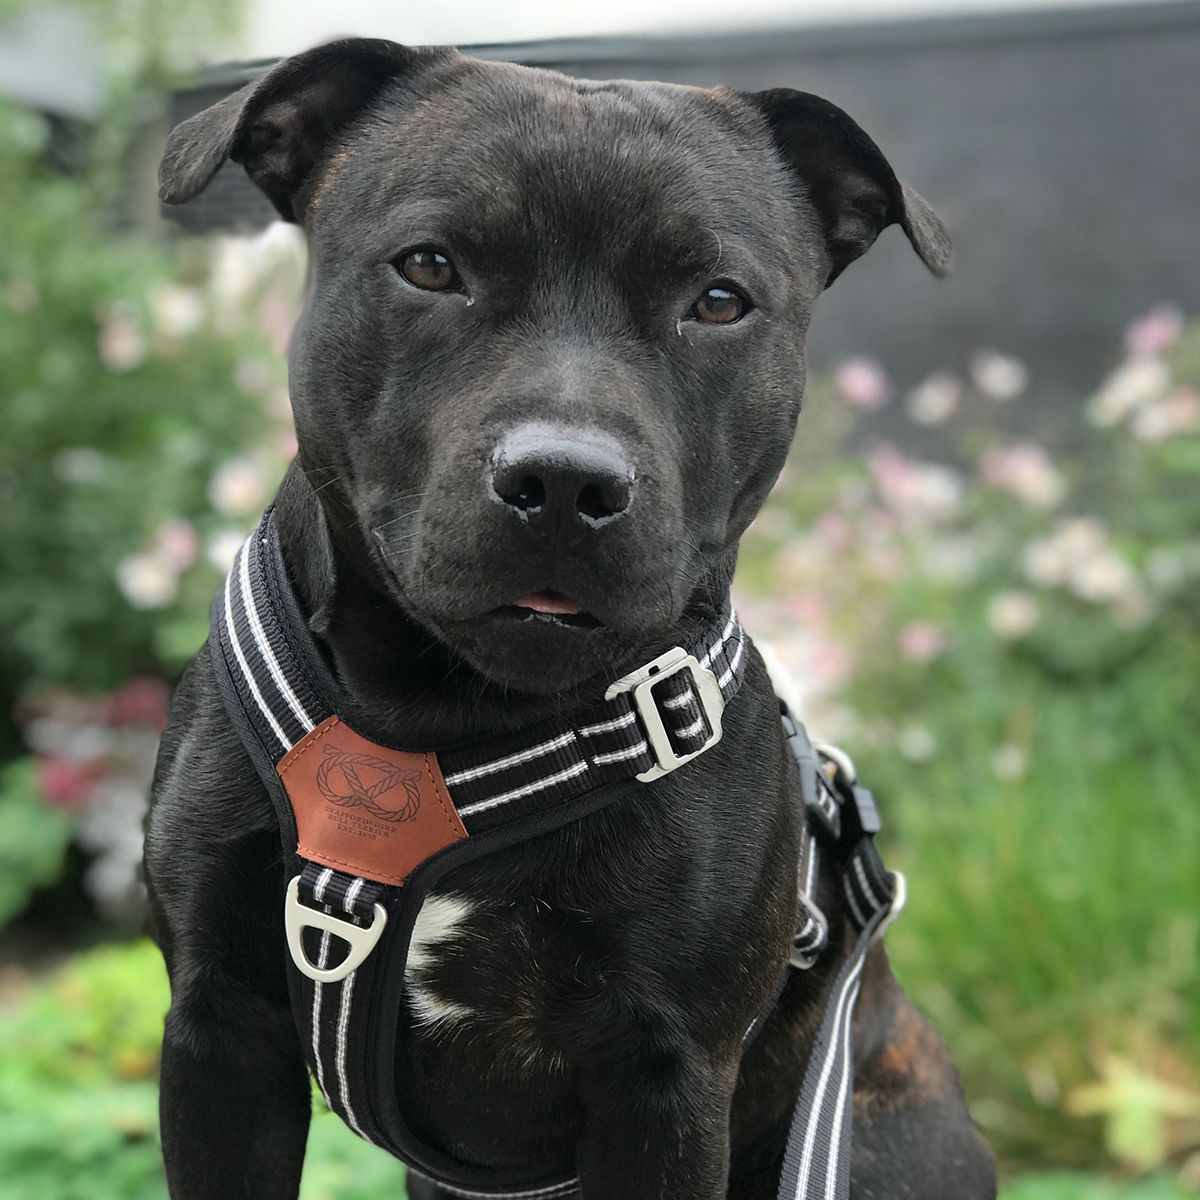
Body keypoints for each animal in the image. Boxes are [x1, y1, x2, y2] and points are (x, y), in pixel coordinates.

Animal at [145, 37, 998, 1200]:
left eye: (719, 301)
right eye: (430, 266)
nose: (564, 480)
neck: (444, 714)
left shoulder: (664, 1079)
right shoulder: (218, 1032)